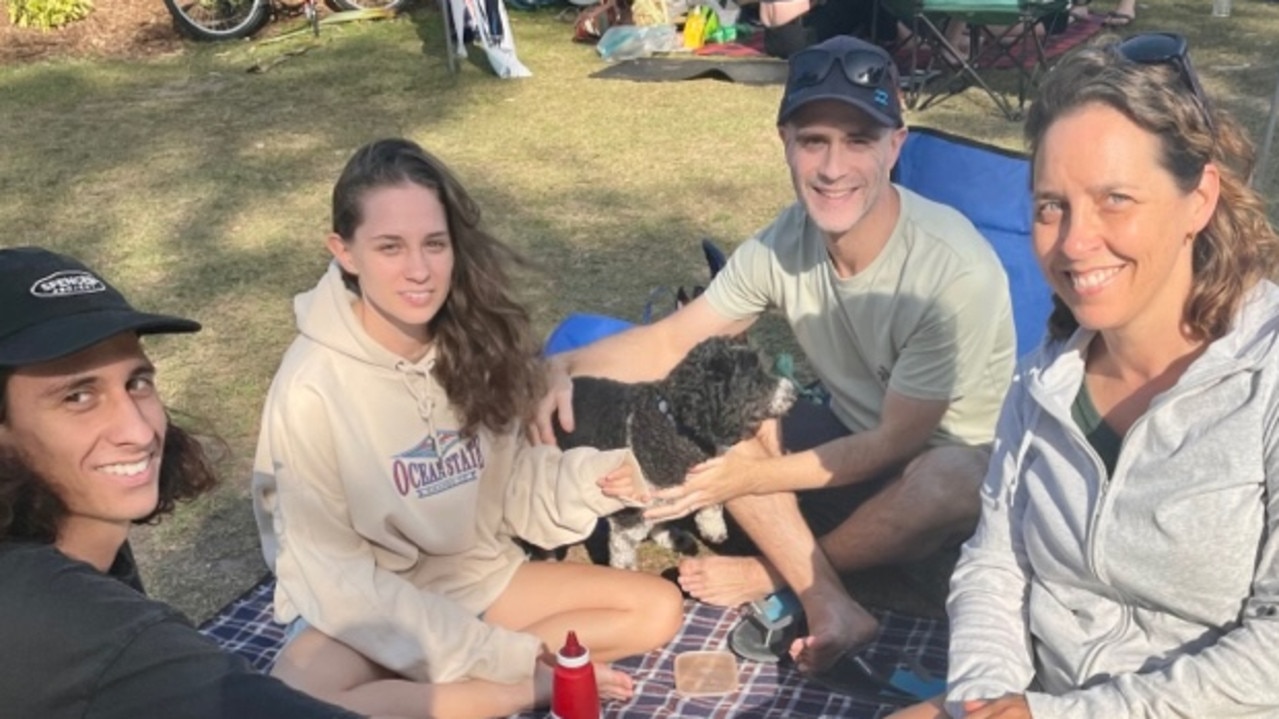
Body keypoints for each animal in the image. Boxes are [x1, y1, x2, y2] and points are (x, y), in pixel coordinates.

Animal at [552, 337, 792, 568]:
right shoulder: (627, 516)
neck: (674, 427)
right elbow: (625, 554)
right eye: (755, 380)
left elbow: (707, 503)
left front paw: (708, 527)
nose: (793, 393)